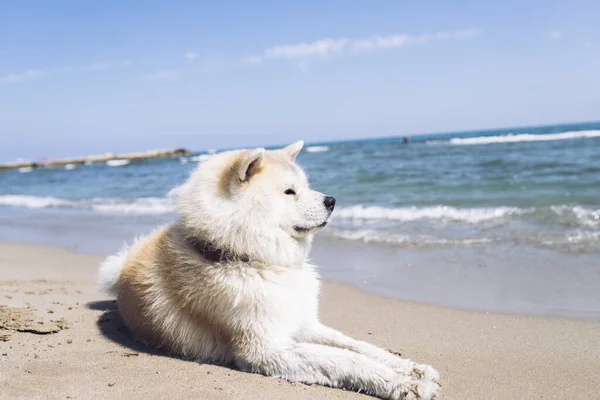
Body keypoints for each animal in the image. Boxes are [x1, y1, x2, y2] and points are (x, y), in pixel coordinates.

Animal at [98, 142, 440, 398]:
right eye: (290, 191)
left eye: (306, 186)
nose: (332, 200)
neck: (249, 258)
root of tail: (124, 265)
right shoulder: (265, 348)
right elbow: (345, 359)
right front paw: (405, 384)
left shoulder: (303, 323)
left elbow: (358, 346)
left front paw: (412, 368)